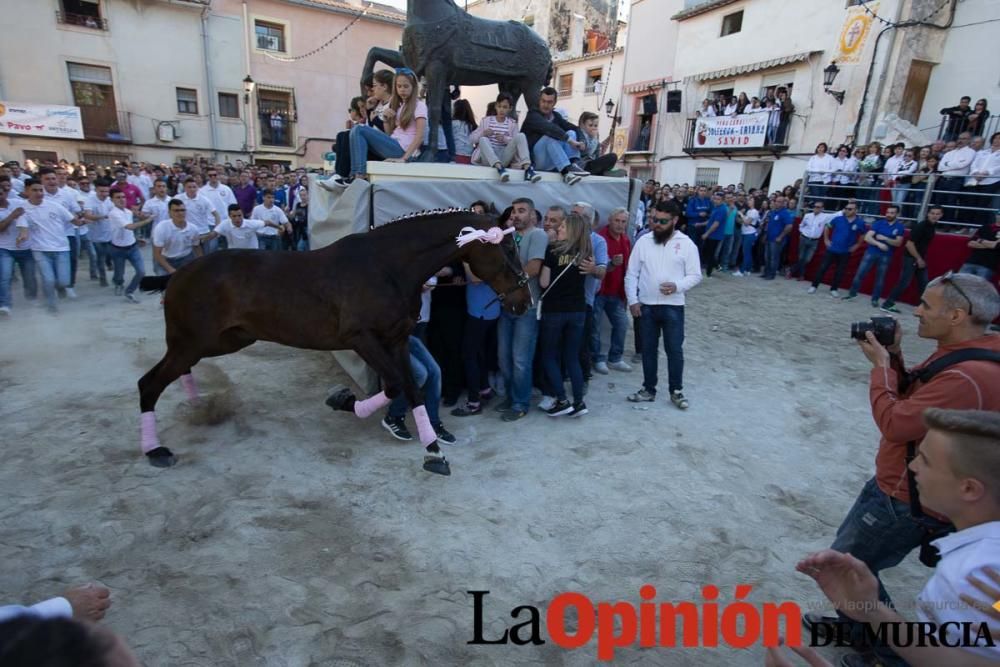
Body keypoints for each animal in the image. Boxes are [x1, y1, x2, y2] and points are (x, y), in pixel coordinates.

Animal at [139, 209, 540, 474]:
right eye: (507, 248)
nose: (523, 302)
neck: (387, 267)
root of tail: (178, 275)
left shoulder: (397, 340)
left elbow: (409, 388)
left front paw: (433, 452)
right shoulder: (361, 338)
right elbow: (396, 385)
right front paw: (344, 400)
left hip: (224, 341)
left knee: (172, 374)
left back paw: (195, 408)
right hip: (193, 343)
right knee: (150, 383)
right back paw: (156, 450)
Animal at [362, 0, 552, 162]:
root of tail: (545, 45)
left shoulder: (436, 67)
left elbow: (434, 111)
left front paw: (429, 155)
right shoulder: (410, 61)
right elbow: (373, 51)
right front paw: (366, 87)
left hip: (532, 84)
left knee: (537, 113)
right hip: (510, 85)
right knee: (513, 114)